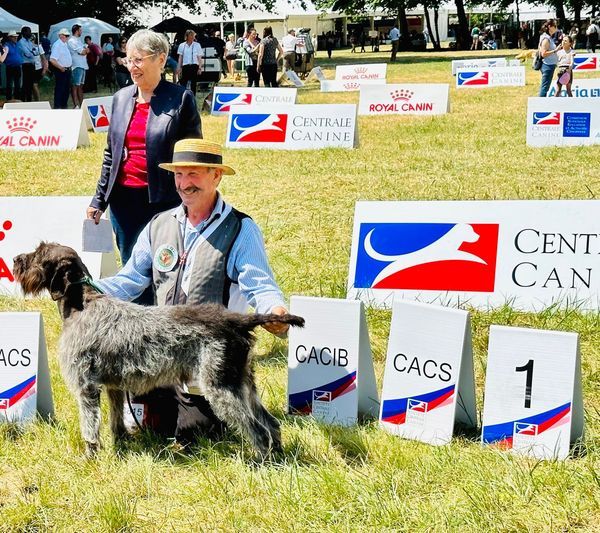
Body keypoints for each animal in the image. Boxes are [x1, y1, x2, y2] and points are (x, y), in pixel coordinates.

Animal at [12, 243, 304, 456]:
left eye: (39, 253)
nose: (15, 259)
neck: (82, 303)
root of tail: (236, 320)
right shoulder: (113, 386)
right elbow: (115, 420)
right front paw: (121, 443)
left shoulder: (86, 387)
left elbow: (90, 427)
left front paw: (90, 456)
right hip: (243, 383)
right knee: (272, 424)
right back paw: (278, 458)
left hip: (221, 389)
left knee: (258, 431)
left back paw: (260, 464)